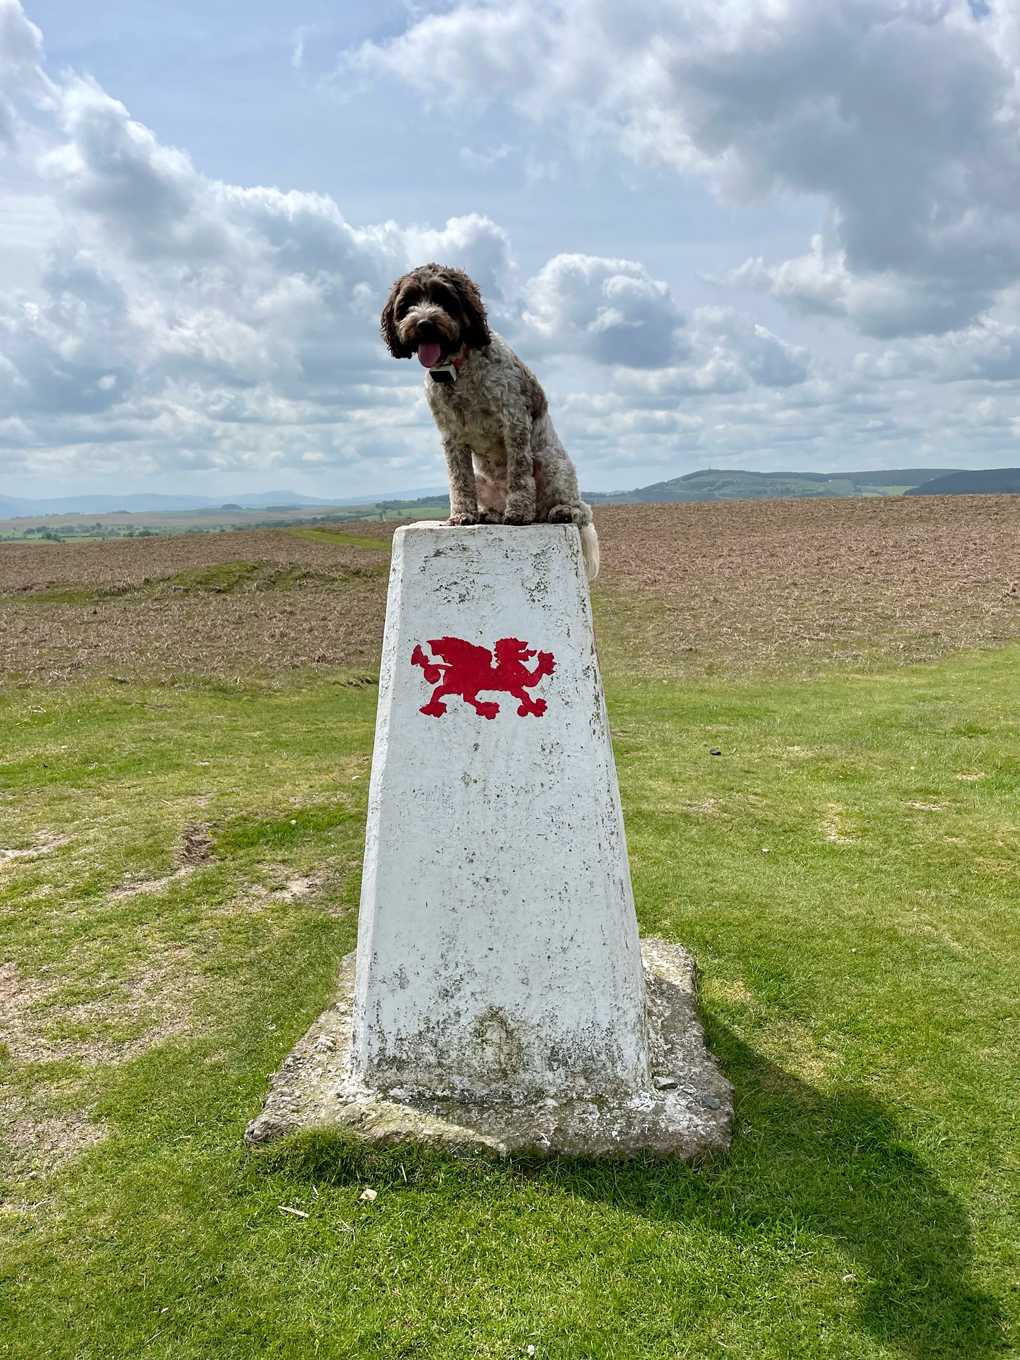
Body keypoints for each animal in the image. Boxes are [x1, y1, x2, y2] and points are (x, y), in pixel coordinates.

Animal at [380, 263, 598, 579]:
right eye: (407, 304)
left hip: (551, 463)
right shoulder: (450, 435)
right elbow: (459, 480)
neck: (457, 369)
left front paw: (518, 513)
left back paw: (559, 512)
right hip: (483, 480)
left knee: (581, 509)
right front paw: (463, 514)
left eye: (444, 300)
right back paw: (489, 513)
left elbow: (519, 474)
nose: (424, 324)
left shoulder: (514, 419)